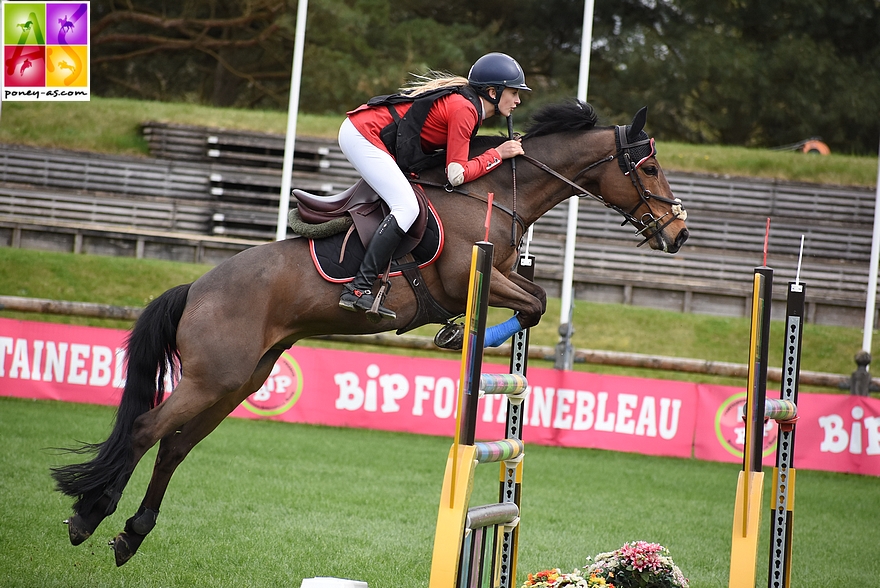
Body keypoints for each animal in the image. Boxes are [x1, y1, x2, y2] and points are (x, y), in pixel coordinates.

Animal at [53, 100, 688, 564]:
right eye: (649, 167)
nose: (679, 234)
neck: (492, 196)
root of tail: (197, 288)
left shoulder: (504, 277)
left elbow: (539, 302)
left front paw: (460, 337)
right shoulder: (467, 277)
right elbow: (532, 303)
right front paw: (461, 336)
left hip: (240, 380)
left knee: (174, 446)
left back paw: (131, 533)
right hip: (213, 379)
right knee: (144, 431)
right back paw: (88, 518)